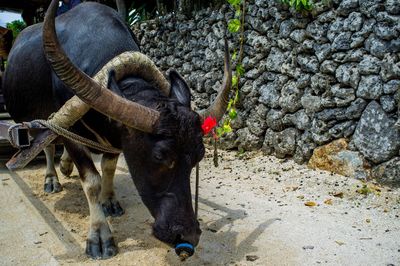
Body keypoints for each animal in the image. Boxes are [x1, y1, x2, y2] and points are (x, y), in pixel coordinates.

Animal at [1, 0, 231, 260]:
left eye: (199, 156)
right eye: (160, 156)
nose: (188, 236)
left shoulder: (115, 139)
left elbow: (108, 168)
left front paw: (109, 201)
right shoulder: (69, 132)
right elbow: (91, 181)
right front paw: (100, 235)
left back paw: (66, 166)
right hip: (34, 122)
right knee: (47, 145)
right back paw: (52, 179)